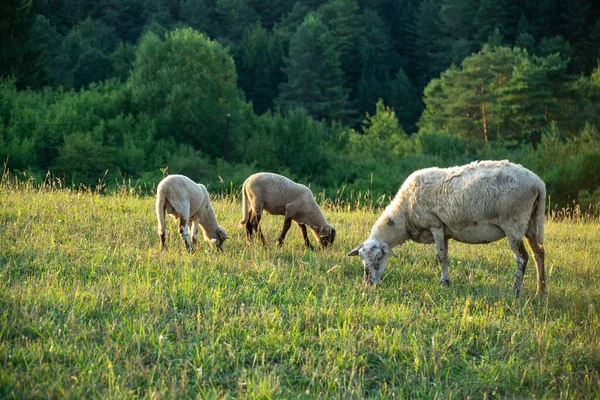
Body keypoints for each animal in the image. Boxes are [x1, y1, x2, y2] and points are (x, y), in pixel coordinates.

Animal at [346, 160, 548, 296]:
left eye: (379, 258)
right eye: (362, 259)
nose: (370, 283)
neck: (404, 216)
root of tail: (538, 183)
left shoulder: (435, 225)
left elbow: (441, 256)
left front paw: (444, 282)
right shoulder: (444, 232)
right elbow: (446, 256)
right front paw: (447, 280)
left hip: (513, 222)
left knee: (522, 257)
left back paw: (516, 290)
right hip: (530, 223)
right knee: (539, 254)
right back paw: (541, 290)